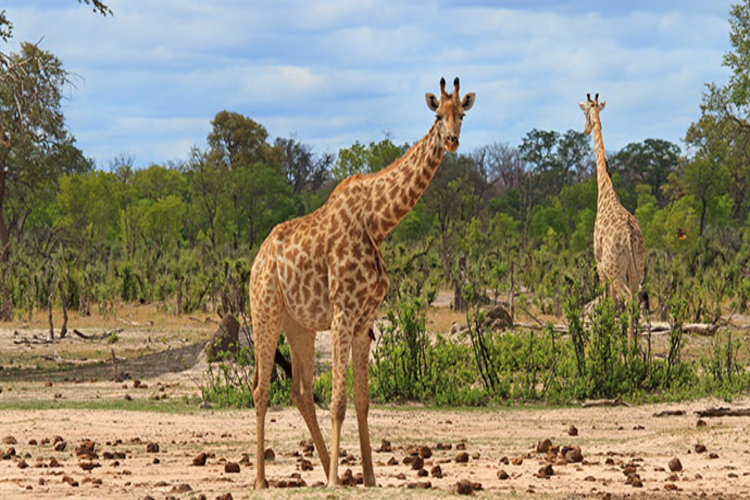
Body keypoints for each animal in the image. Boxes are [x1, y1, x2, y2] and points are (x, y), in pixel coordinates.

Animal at [251, 78, 476, 488]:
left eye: (462, 115)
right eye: (438, 115)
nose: (452, 140)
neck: (379, 222)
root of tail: (257, 260)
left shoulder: (364, 320)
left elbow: (361, 401)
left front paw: (367, 477)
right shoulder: (343, 312)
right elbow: (339, 401)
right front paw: (334, 482)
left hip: (299, 324)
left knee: (300, 391)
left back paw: (328, 468)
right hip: (266, 311)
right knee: (261, 388)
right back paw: (261, 481)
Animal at [580, 92, 648, 338]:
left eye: (585, 112)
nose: (585, 129)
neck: (605, 190)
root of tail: (629, 236)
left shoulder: (599, 263)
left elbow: (607, 302)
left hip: (614, 269)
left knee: (627, 300)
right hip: (636, 268)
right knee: (636, 300)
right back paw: (635, 346)